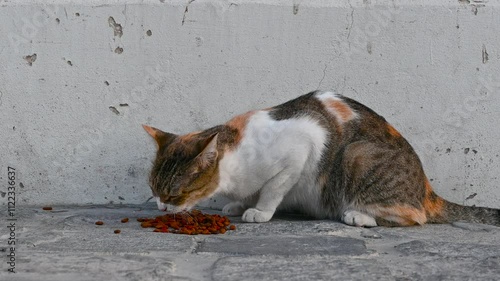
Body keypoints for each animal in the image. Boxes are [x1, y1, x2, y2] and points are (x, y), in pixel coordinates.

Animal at [142, 91, 500, 226]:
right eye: (154, 190)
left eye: (174, 194)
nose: (160, 207)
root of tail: (428, 189)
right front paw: (240, 204)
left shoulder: (302, 145)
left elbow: (272, 190)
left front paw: (259, 211)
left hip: (358, 157)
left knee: (415, 217)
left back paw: (359, 216)